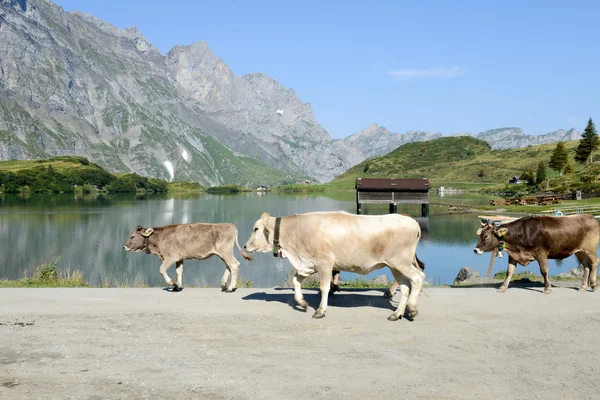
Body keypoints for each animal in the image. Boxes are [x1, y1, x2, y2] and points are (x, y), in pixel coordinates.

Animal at [123, 223, 252, 292]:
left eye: (132, 236)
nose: (124, 246)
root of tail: (231, 225)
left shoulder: (170, 257)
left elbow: (162, 269)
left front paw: (172, 283)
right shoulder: (179, 258)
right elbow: (179, 271)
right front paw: (177, 286)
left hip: (225, 252)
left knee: (234, 265)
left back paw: (230, 288)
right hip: (223, 254)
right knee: (229, 266)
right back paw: (224, 284)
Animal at [244, 211, 426, 320]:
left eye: (256, 228)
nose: (245, 246)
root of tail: (411, 221)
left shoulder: (324, 262)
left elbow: (324, 287)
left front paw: (320, 310)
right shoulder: (308, 264)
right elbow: (296, 280)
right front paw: (302, 303)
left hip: (400, 262)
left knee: (418, 278)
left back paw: (412, 309)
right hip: (396, 266)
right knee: (405, 287)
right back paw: (397, 313)